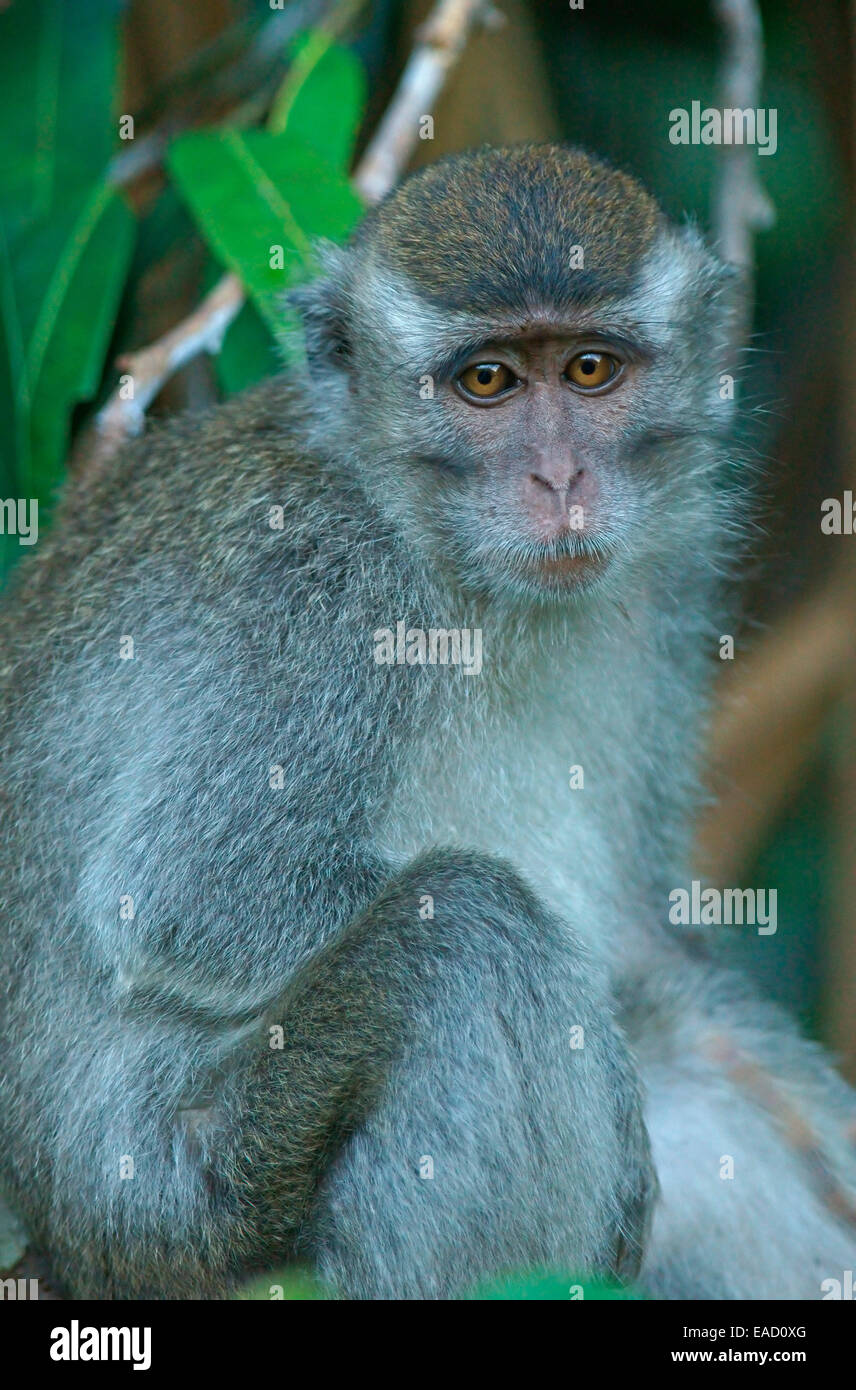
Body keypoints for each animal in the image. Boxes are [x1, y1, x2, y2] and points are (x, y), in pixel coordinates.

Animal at [0, 142, 854, 1301]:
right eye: (485, 381)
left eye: (591, 370)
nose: (560, 478)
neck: (454, 564)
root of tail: (58, 1226)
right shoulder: (325, 592)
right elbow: (188, 894)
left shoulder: (666, 575)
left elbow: (649, 942)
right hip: (180, 1204)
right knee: (467, 933)